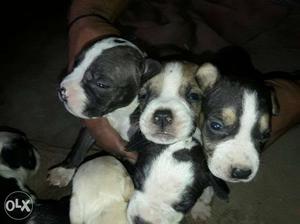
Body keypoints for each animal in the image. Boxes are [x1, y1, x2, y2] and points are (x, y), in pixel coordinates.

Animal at [48, 36, 162, 186]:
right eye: (75, 65)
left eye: (101, 84)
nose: (62, 89)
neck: (119, 114)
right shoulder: (94, 127)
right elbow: (80, 147)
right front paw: (64, 171)